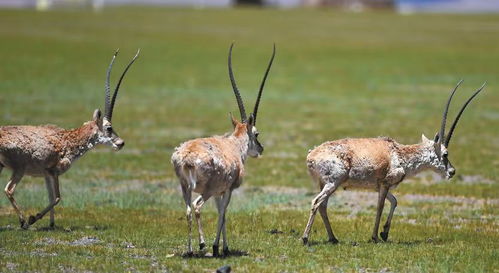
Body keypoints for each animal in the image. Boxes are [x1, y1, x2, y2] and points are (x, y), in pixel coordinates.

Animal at [1, 49, 140, 230]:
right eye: (109, 128)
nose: (121, 143)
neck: (68, 139)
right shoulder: (54, 171)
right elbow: (57, 197)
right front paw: (33, 218)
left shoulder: (46, 175)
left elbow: (50, 197)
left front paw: (51, 224)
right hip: (19, 169)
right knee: (9, 190)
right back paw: (23, 222)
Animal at [170, 43, 276, 256]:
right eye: (256, 133)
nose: (260, 149)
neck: (234, 145)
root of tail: (187, 157)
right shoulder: (227, 190)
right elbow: (223, 213)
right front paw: (220, 247)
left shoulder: (219, 192)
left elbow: (222, 213)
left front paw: (220, 246)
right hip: (206, 190)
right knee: (197, 207)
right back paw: (202, 244)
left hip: (185, 187)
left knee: (188, 209)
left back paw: (191, 250)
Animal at [302, 80, 486, 242]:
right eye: (446, 154)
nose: (452, 171)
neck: (399, 153)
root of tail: (311, 156)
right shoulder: (385, 184)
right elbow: (380, 206)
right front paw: (376, 237)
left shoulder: (380, 186)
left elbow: (395, 201)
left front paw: (384, 233)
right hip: (333, 182)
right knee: (317, 202)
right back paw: (305, 238)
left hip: (326, 184)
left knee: (323, 206)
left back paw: (333, 238)